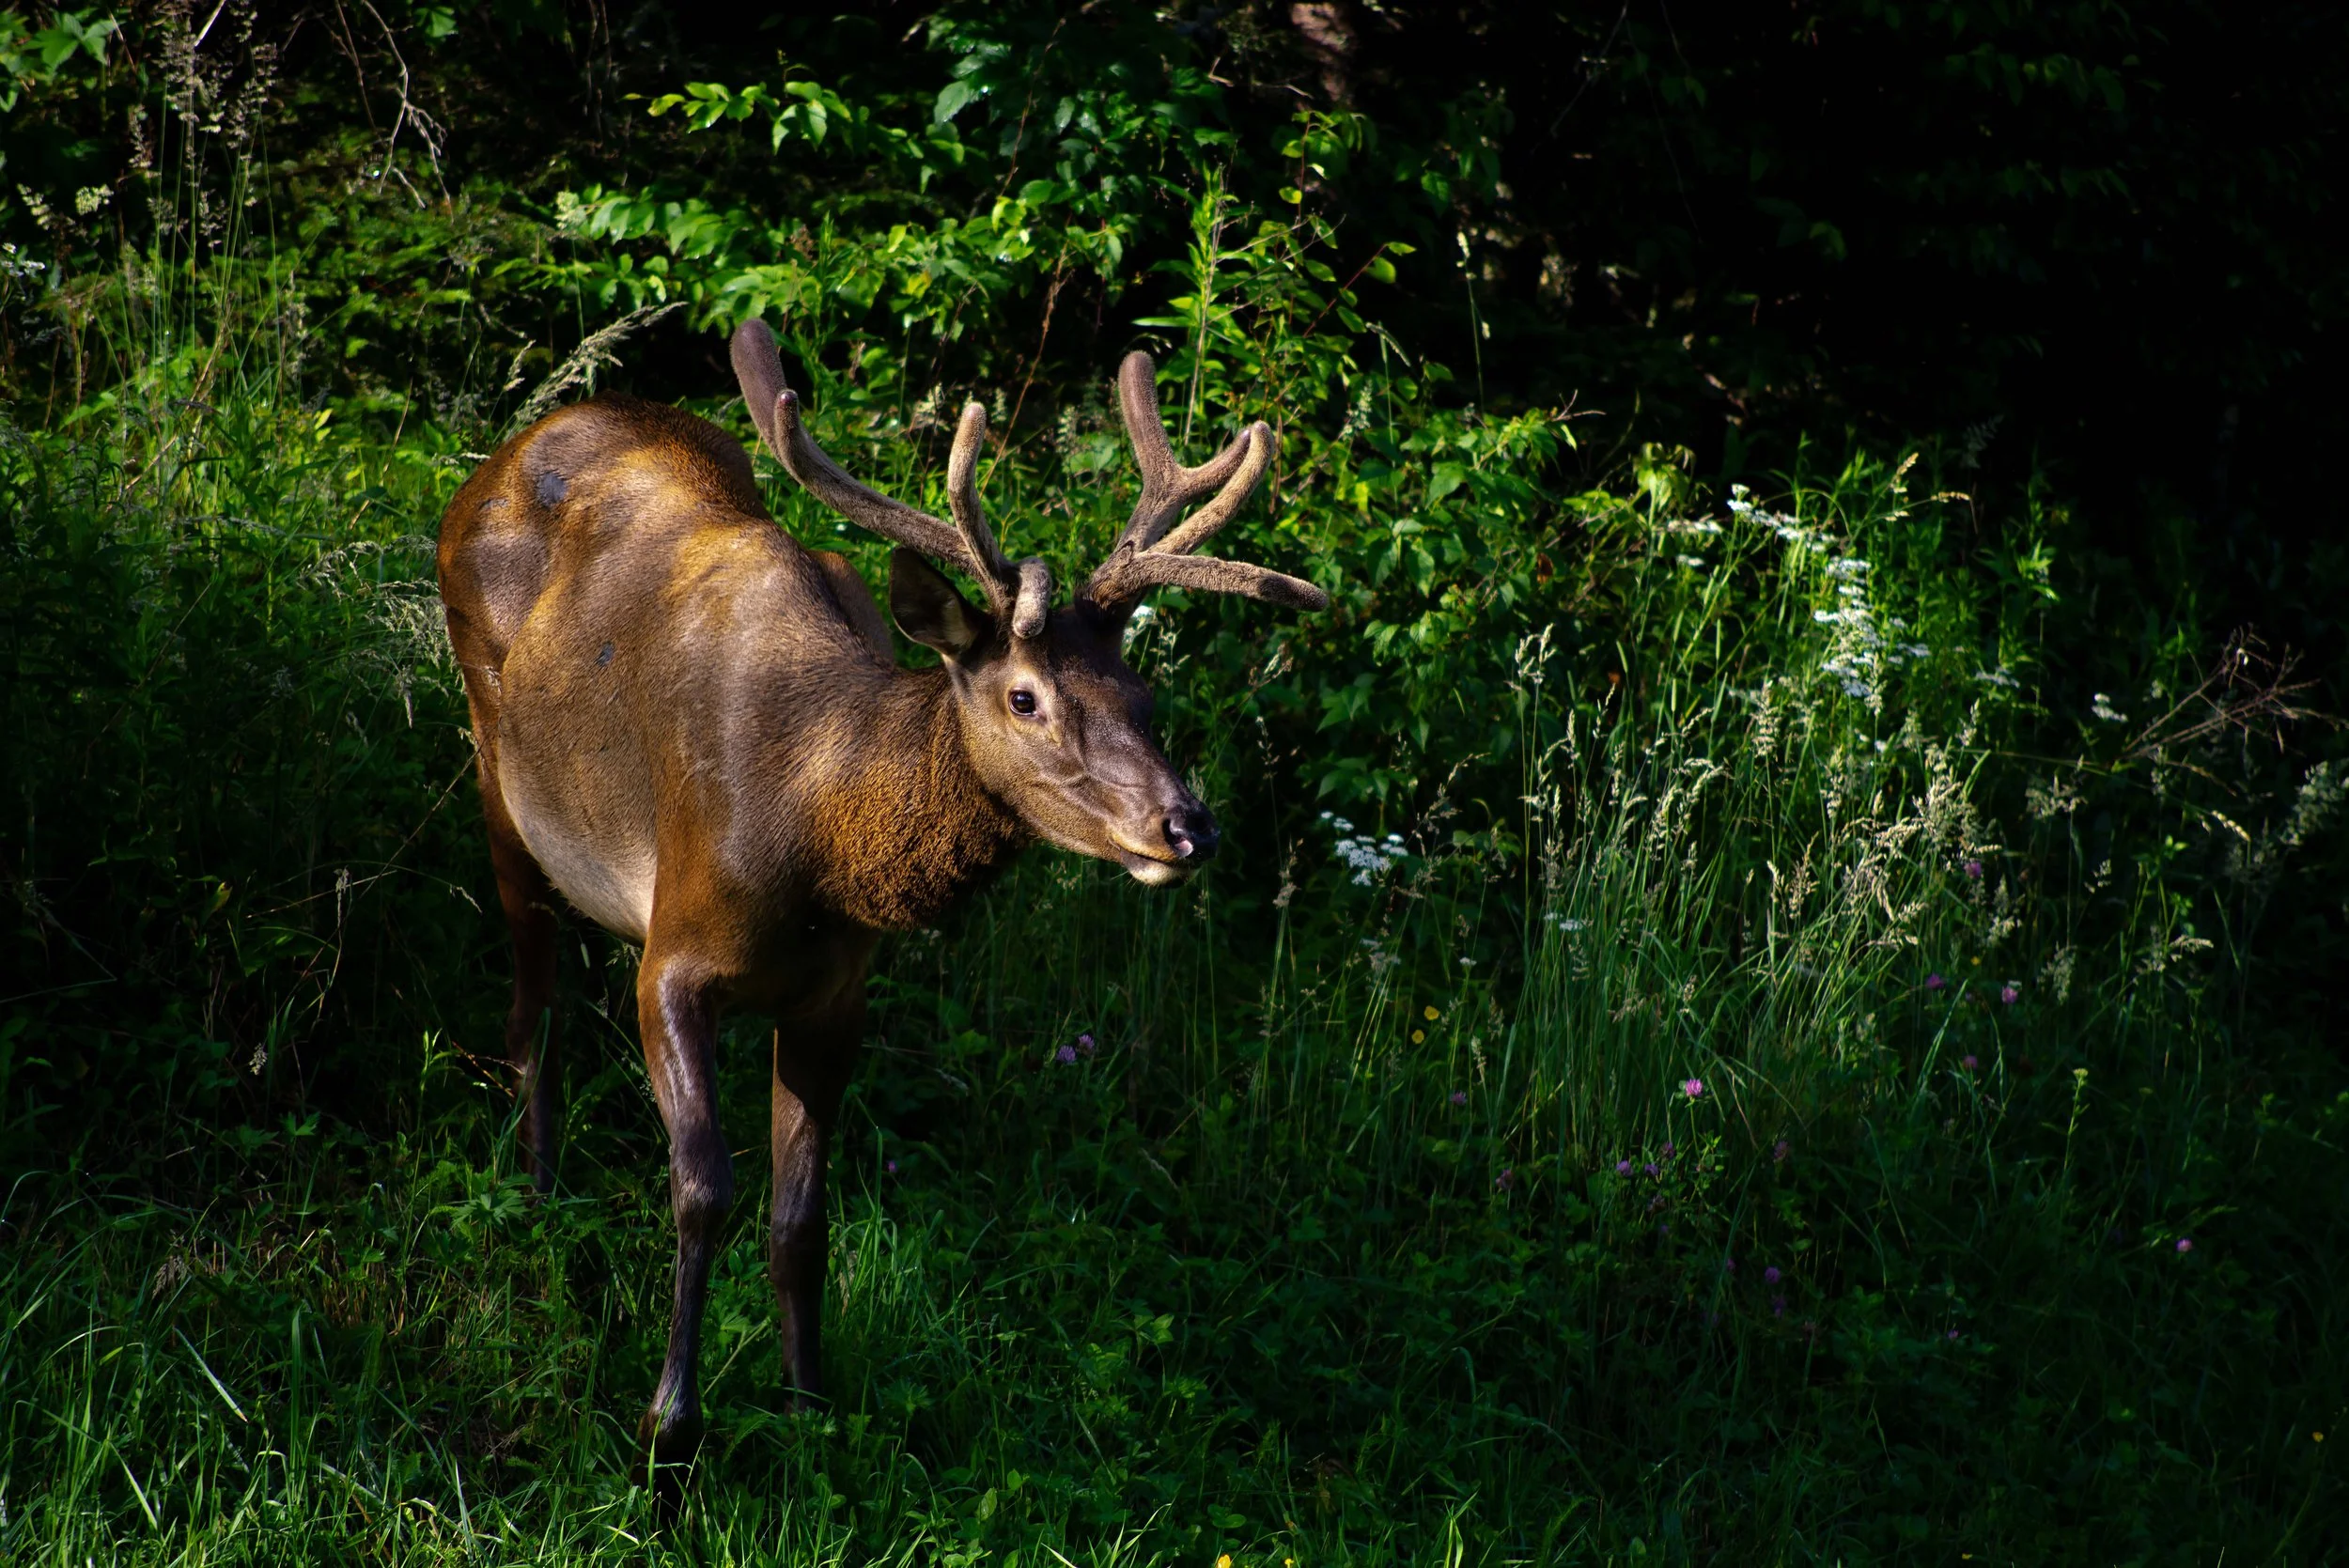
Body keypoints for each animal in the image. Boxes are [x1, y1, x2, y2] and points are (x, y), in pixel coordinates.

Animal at [434, 317, 1326, 1485]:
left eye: (1142, 696)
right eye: (1024, 697)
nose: (1187, 827)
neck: (814, 833)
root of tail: (504, 455)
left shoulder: (835, 993)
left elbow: (801, 1218)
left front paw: (810, 1410)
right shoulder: (673, 955)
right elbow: (702, 1188)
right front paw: (668, 1433)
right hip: (496, 767)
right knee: (527, 999)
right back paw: (535, 1196)